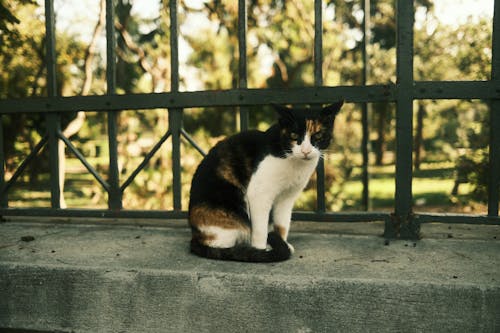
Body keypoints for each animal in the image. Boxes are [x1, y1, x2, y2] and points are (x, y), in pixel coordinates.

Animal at [188, 100, 344, 260]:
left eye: (318, 135)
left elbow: (282, 226)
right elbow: (260, 231)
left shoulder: (287, 198)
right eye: (294, 135)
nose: (305, 151)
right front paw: (261, 250)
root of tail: (195, 236)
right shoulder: (259, 194)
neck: (293, 161)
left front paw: (282, 242)